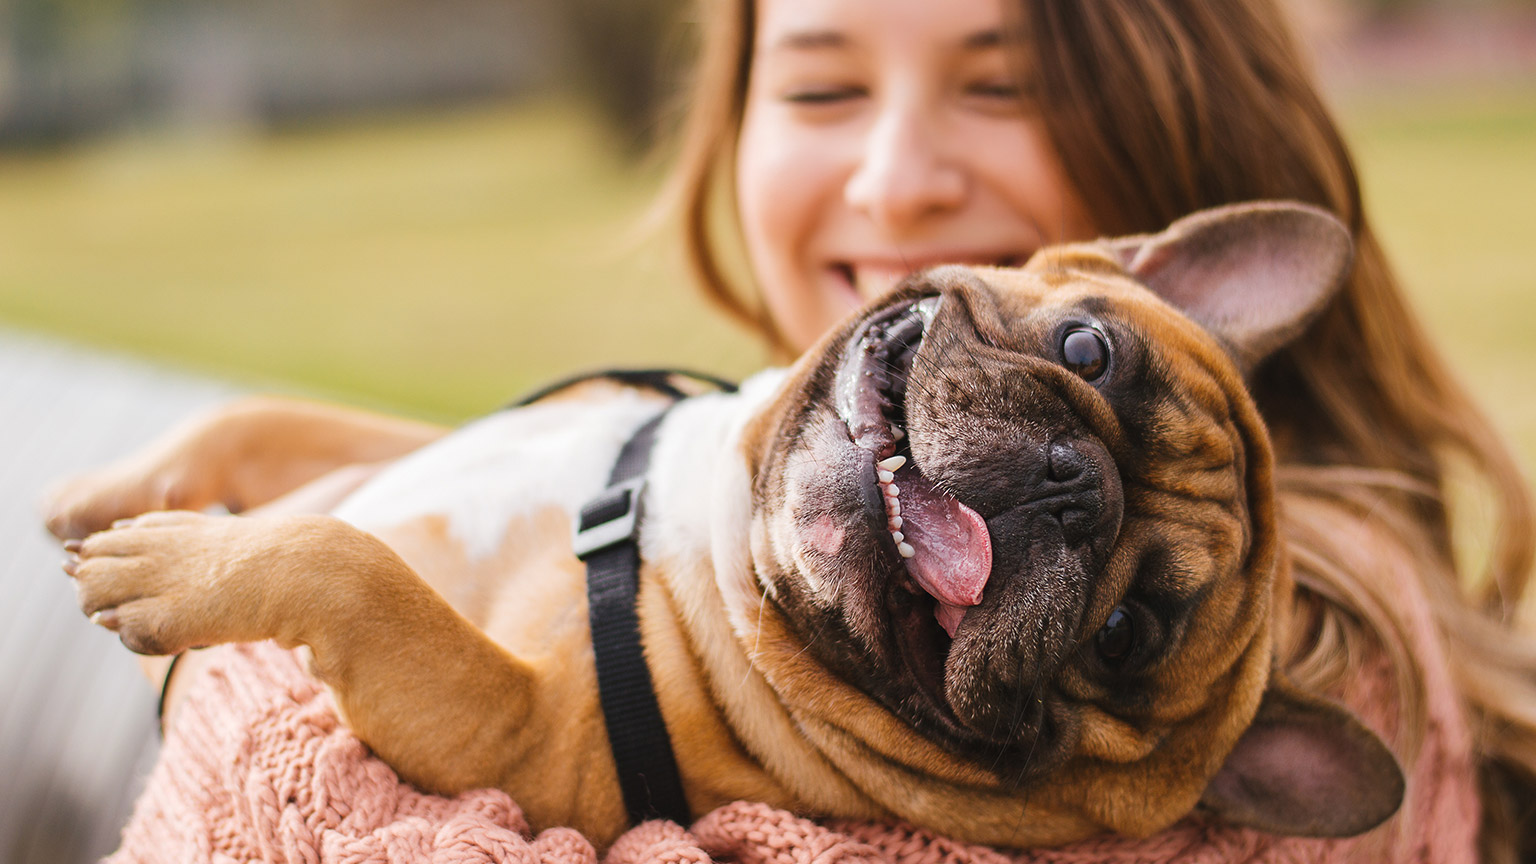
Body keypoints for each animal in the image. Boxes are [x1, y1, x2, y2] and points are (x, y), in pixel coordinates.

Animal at [44, 201, 1406, 848]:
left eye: (1125, 633)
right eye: (1087, 350)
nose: (1075, 487)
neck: (701, 522)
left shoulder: (513, 736)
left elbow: (356, 567)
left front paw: (170, 565)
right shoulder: (414, 446)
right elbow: (271, 423)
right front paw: (115, 490)